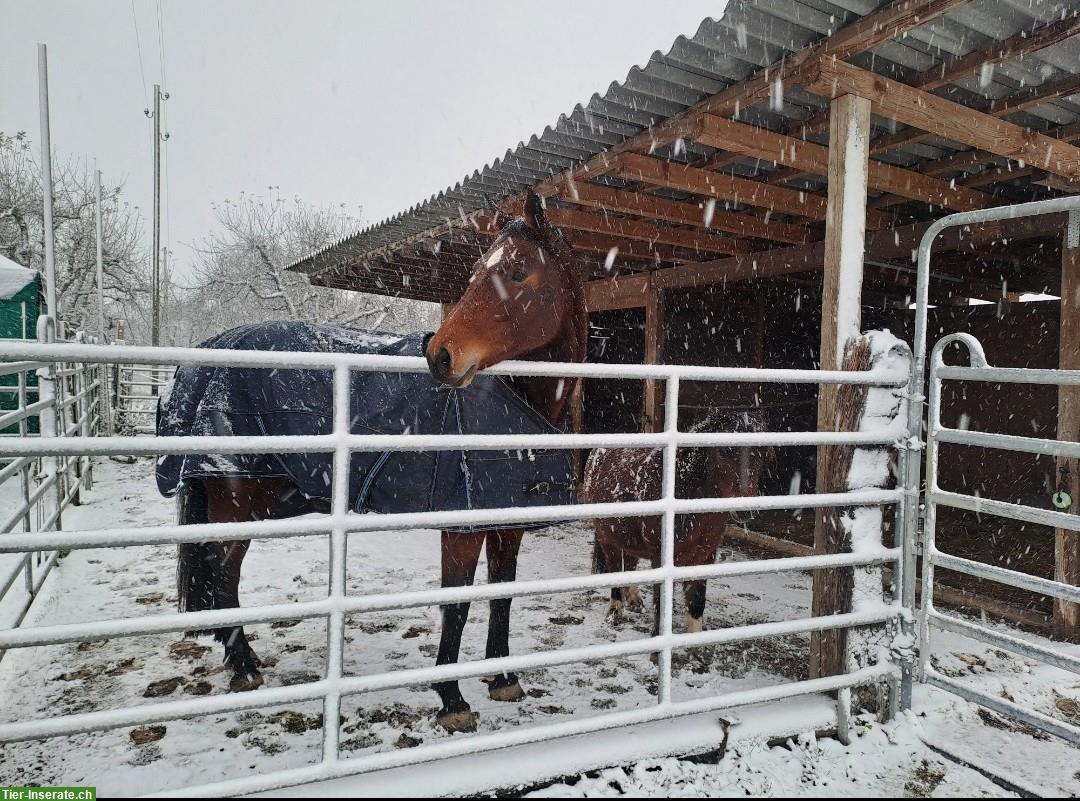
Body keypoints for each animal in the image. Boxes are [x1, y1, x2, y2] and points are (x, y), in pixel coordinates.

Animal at [177, 193, 587, 734]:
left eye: (518, 271)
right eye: (476, 271)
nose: (440, 356)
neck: (513, 405)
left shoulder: (507, 521)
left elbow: (502, 594)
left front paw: (503, 679)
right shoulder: (460, 527)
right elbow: (456, 605)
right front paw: (452, 699)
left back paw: (241, 659)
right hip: (235, 500)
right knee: (223, 575)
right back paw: (243, 667)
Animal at [587, 414, 773, 639]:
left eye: (762, 452)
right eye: (723, 452)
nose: (746, 511)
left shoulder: (705, 556)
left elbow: (696, 602)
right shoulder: (661, 558)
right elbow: (661, 603)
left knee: (630, 563)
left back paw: (634, 600)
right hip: (607, 537)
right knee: (615, 567)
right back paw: (615, 611)